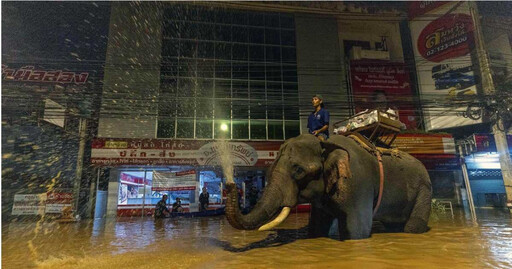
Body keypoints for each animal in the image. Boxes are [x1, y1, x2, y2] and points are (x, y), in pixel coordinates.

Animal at [224, 133, 432, 240]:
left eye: (298, 170)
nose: (229, 184)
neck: (326, 143)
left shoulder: (358, 182)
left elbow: (357, 231)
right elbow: (318, 227)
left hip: (424, 188)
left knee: (412, 226)